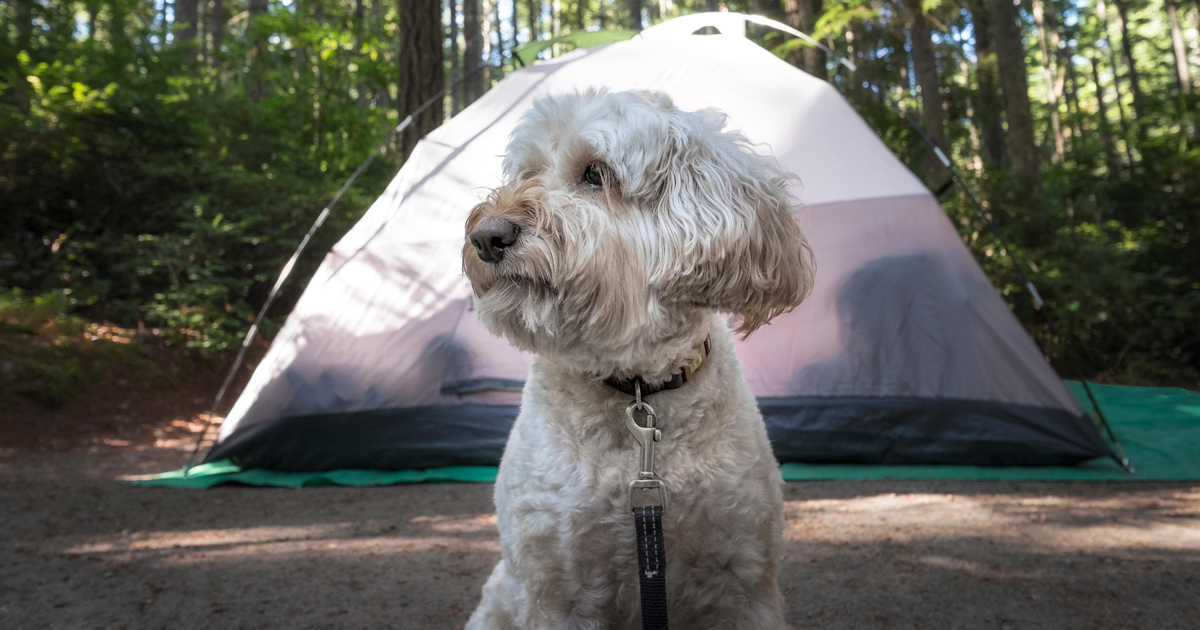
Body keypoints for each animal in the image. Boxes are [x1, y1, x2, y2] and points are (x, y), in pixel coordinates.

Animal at [463, 88, 811, 628]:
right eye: (525, 172)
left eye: (595, 173)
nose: (486, 236)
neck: (637, 388)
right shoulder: (554, 591)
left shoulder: (746, 582)